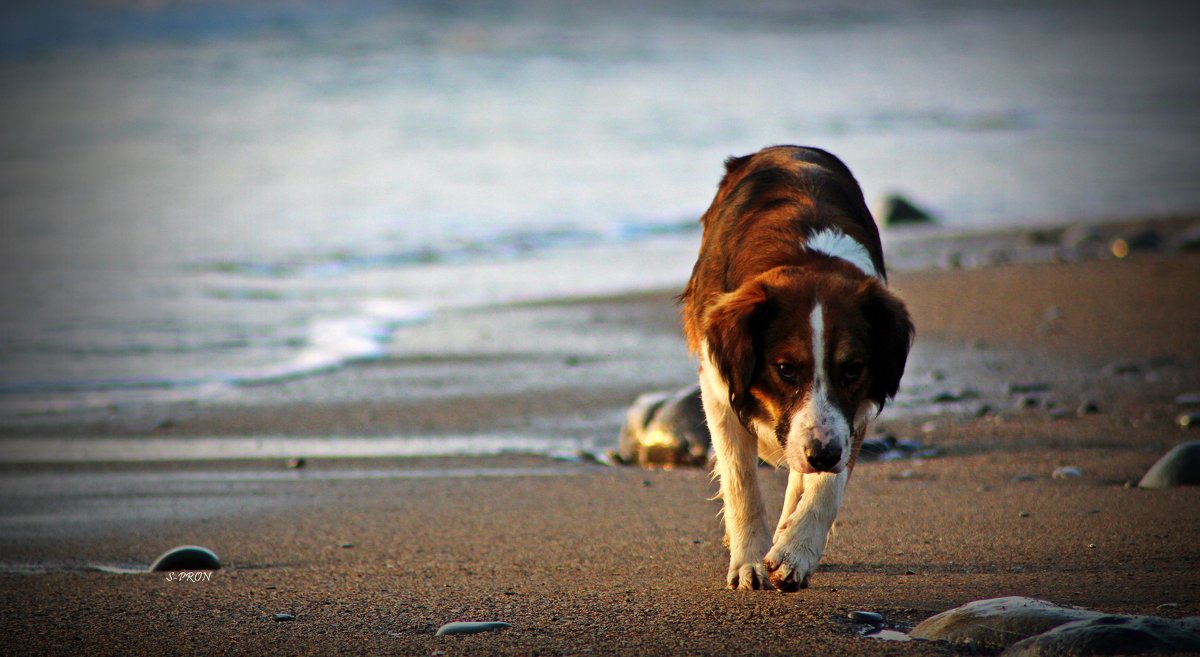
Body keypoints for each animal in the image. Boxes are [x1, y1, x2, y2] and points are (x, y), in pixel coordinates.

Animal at [681, 146, 912, 592]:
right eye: (786, 368)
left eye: (853, 369)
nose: (822, 453)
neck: (807, 258)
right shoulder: (717, 386)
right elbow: (741, 482)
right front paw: (749, 562)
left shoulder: (852, 414)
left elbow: (827, 486)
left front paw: (795, 550)